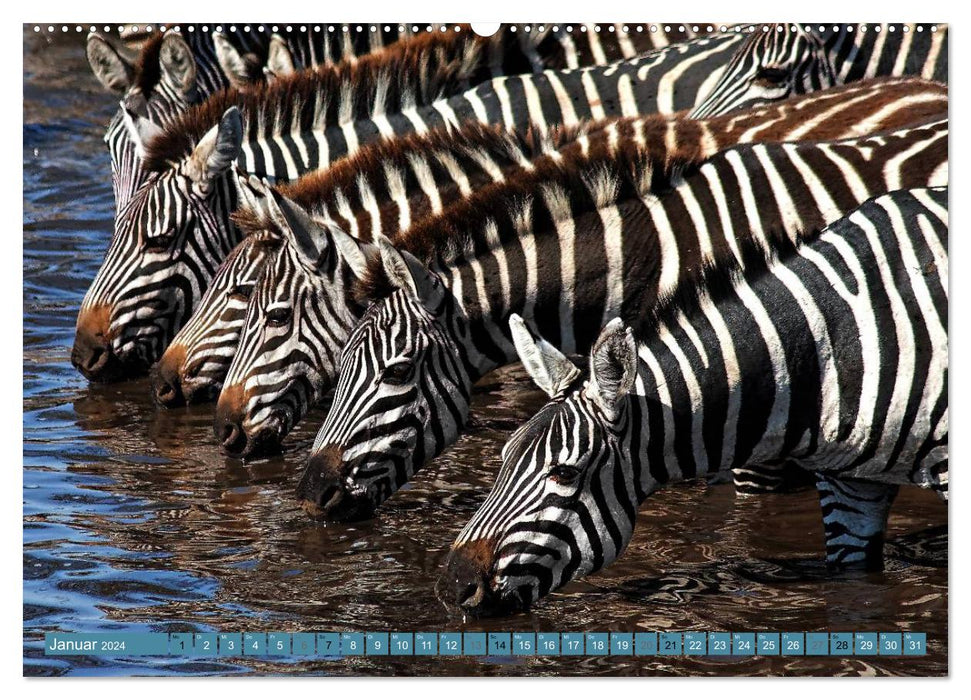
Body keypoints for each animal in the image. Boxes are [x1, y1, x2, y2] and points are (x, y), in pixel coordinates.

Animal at [444, 187, 944, 616]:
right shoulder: (850, 486)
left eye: (564, 473)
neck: (839, 345)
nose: (452, 586)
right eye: (504, 459)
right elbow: (853, 592)